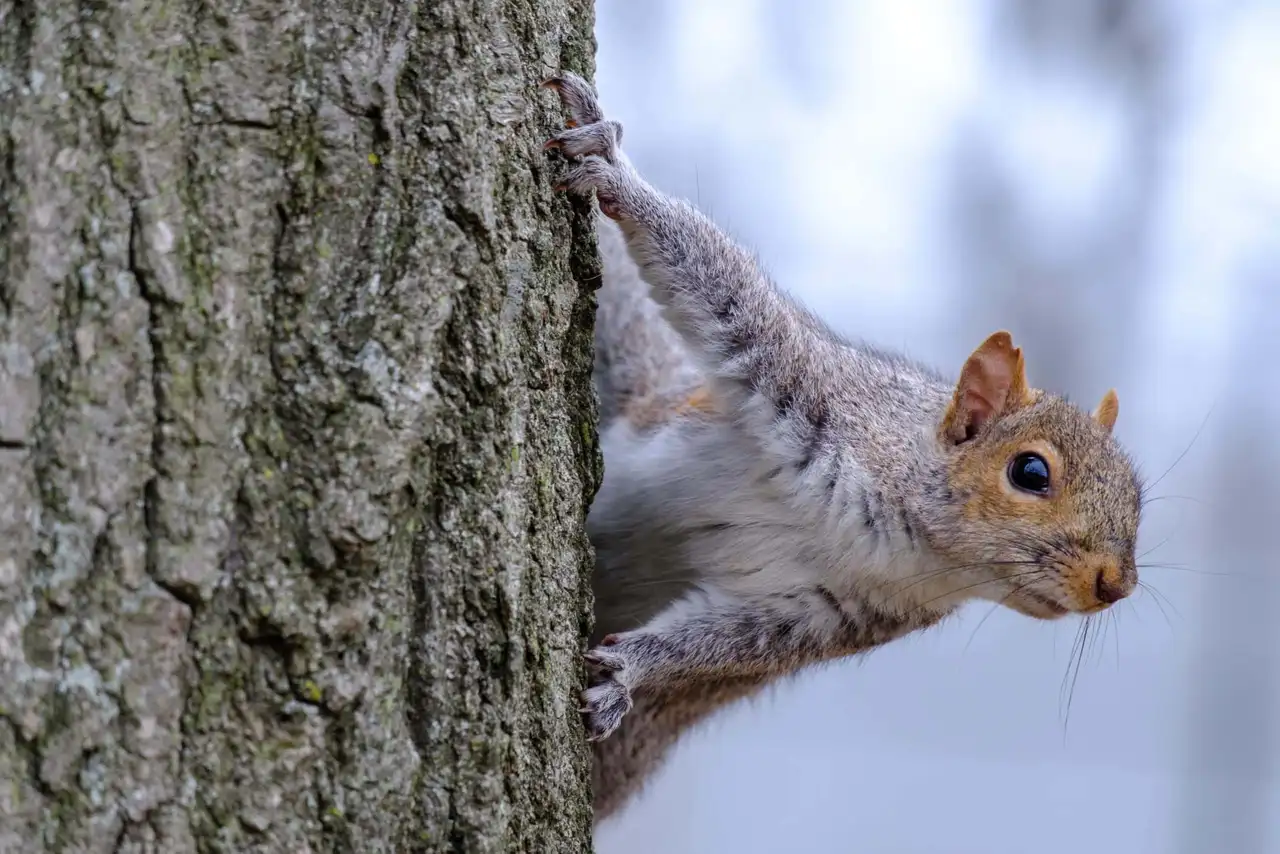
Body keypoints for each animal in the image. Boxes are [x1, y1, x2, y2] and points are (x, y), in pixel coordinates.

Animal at [542, 73, 1144, 823]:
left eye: (1139, 497)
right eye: (1031, 471)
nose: (1115, 585)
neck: (903, 540)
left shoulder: (831, 615)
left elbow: (718, 647)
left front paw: (629, 671)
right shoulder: (804, 386)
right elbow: (714, 278)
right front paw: (614, 169)